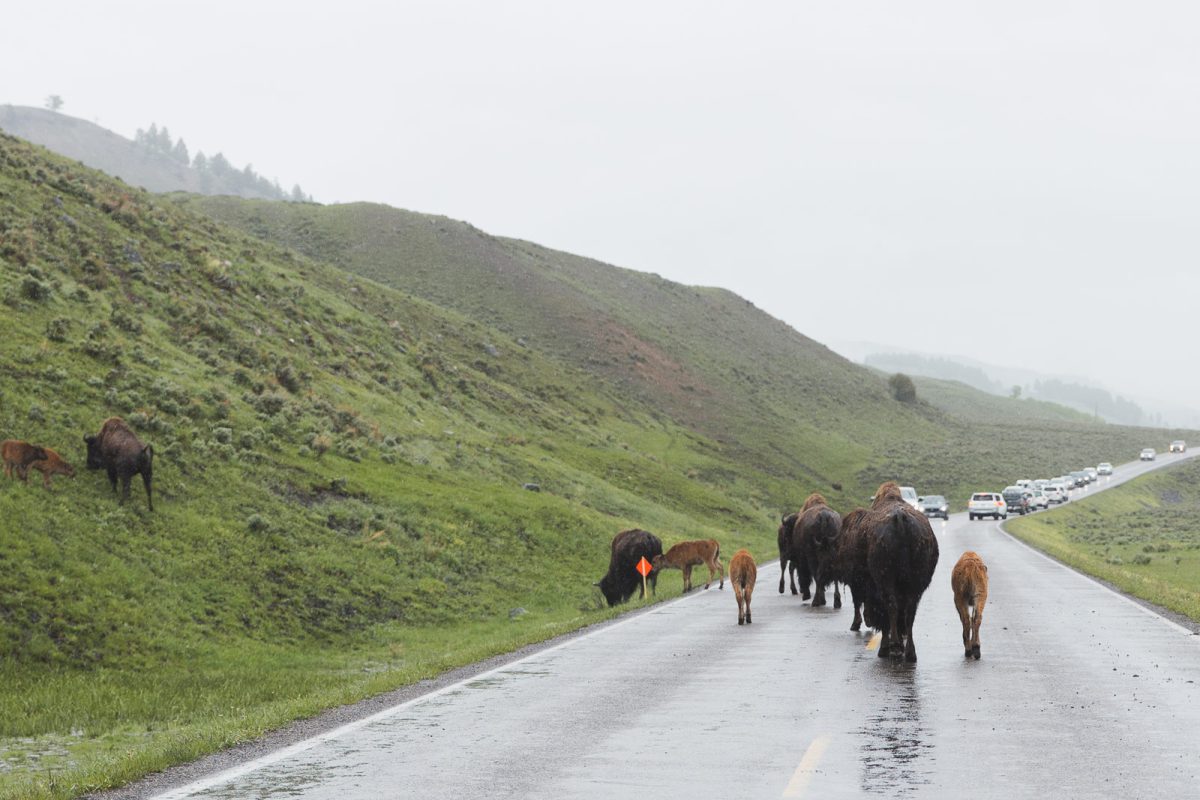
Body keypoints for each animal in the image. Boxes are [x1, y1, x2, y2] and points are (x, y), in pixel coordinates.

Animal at [868, 482, 940, 662]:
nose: (868, 619)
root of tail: (899, 518)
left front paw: (886, 647)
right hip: (914, 584)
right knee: (909, 612)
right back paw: (910, 653)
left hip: (887, 581)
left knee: (892, 607)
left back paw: (893, 647)